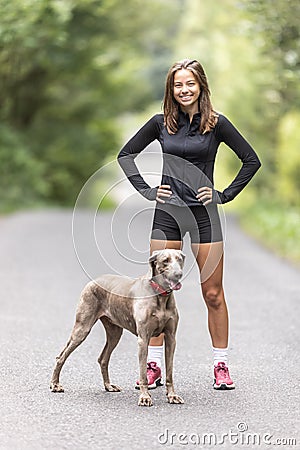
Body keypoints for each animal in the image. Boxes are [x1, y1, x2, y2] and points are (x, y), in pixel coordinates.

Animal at [49, 248, 185, 406]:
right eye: (165, 260)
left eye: (179, 259)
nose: (178, 274)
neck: (161, 296)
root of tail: (93, 280)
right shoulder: (143, 339)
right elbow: (143, 374)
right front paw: (145, 397)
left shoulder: (170, 338)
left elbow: (170, 372)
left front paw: (172, 396)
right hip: (82, 329)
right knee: (61, 356)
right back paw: (55, 384)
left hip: (115, 333)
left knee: (103, 359)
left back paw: (108, 386)